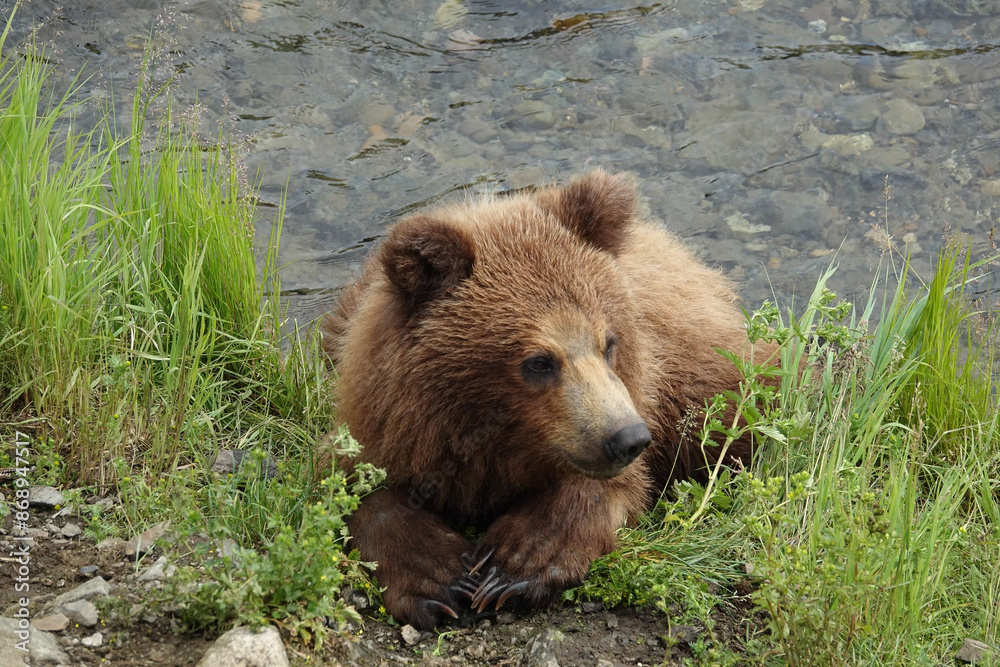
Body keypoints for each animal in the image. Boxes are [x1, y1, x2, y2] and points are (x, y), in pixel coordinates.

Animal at [321, 170, 770, 630]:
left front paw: (517, 562)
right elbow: (360, 487)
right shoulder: (389, 423)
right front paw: (437, 577)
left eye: (609, 342)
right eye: (539, 361)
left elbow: (602, 490)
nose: (628, 438)